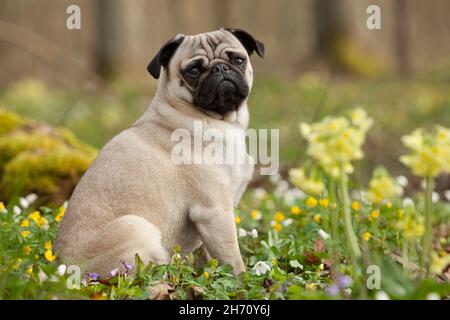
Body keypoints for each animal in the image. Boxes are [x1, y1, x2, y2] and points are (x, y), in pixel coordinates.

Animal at [54, 28, 264, 276]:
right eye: (193, 70)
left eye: (238, 60)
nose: (220, 68)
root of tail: (62, 267)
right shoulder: (215, 211)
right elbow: (231, 256)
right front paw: (243, 279)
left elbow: (210, 254)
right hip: (136, 227)